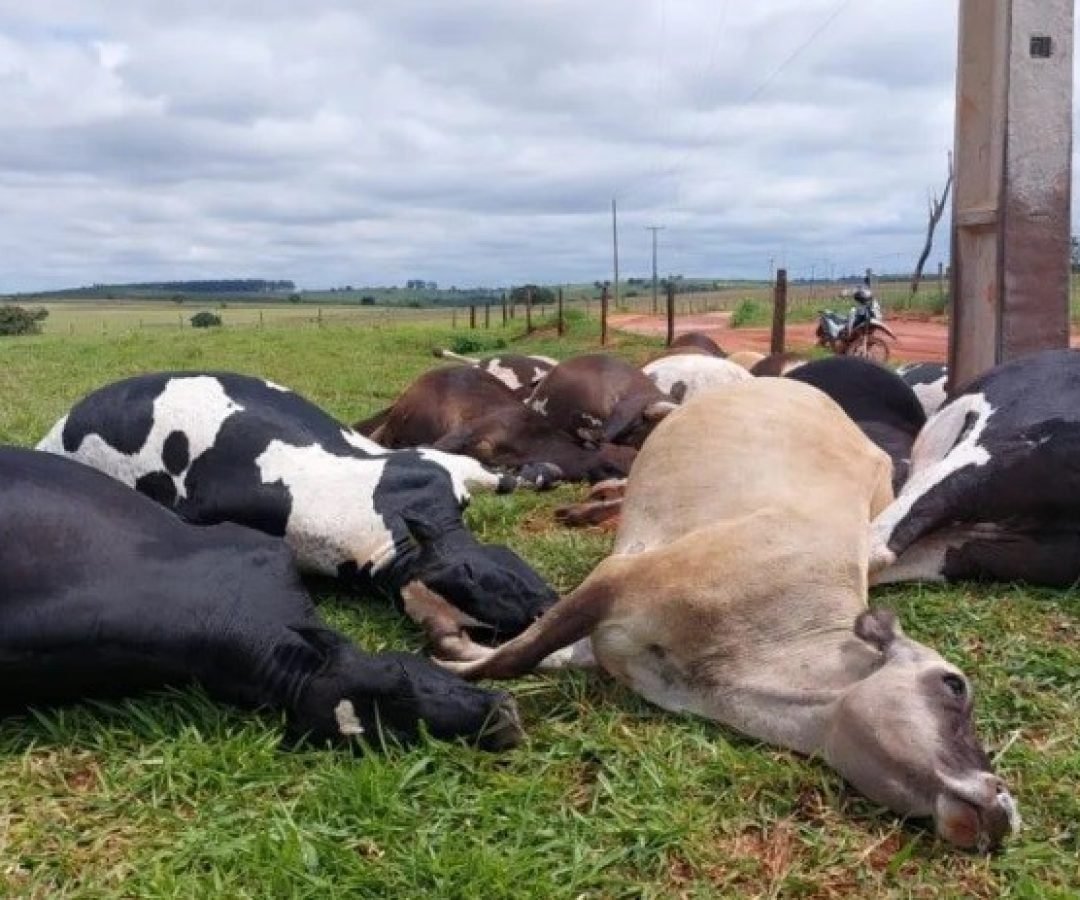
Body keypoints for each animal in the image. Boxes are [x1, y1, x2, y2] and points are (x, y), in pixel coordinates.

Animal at [38, 372, 557, 642]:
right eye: (468, 580)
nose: (546, 609)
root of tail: (57, 427)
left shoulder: (432, 464)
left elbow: (495, 474)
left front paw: (539, 472)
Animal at [427, 380, 1018, 851]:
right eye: (955, 685)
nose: (1006, 804)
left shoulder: (605, 639)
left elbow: (526, 652)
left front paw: (451, 647)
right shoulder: (617, 577)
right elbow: (514, 656)